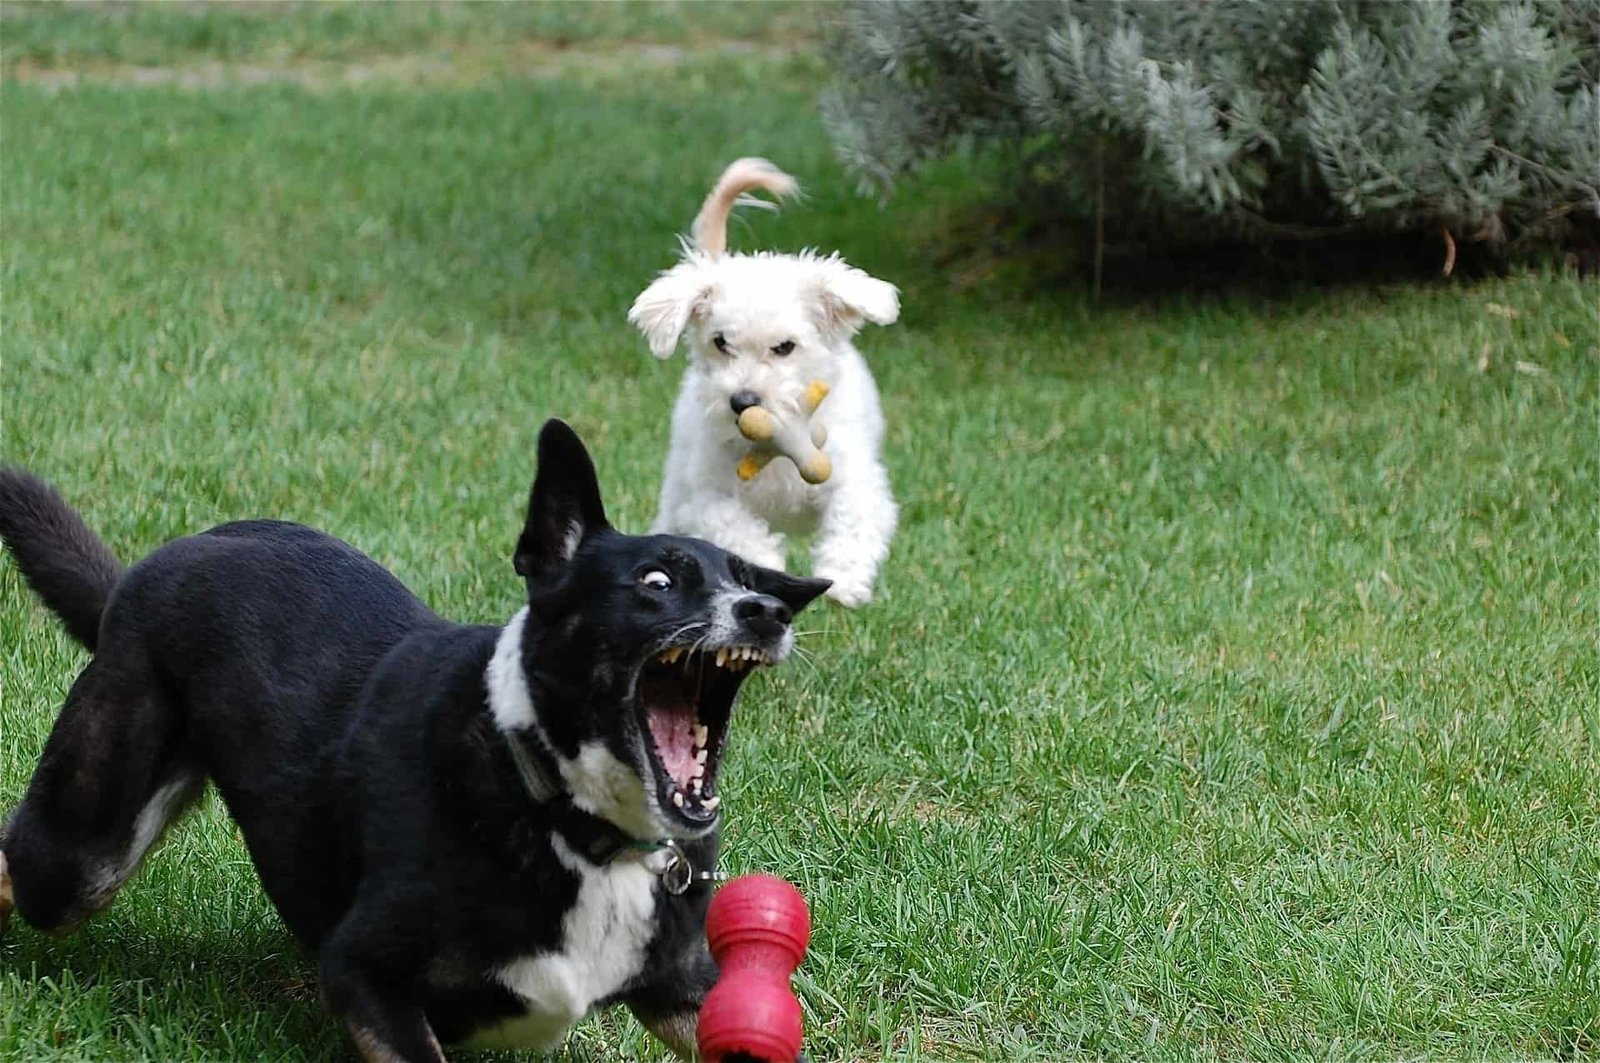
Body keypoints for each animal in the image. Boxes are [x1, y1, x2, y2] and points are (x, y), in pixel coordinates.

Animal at [0, 422, 825, 1063]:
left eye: (748, 581)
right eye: (656, 581)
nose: (768, 612)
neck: (565, 817)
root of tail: (136, 577)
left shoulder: (680, 988)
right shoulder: (365, 975)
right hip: (79, 856)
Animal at [627, 157, 902, 605]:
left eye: (785, 347)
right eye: (721, 342)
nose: (742, 401)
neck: (773, 455)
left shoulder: (853, 476)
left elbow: (854, 517)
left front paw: (843, 579)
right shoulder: (708, 495)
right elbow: (733, 526)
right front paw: (761, 566)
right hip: (678, 484)